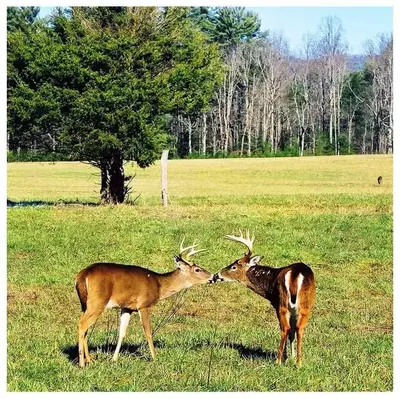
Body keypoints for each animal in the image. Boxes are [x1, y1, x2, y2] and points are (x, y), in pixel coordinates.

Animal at [75, 241, 212, 368]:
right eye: (197, 269)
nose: (212, 276)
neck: (159, 285)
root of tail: (82, 275)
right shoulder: (143, 305)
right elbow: (148, 332)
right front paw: (155, 357)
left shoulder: (127, 307)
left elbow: (121, 332)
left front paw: (114, 359)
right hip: (97, 301)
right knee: (82, 324)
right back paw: (82, 363)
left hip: (85, 303)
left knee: (85, 328)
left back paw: (89, 360)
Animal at [214, 231, 314, 368]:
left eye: (234, 267)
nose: (216, 275)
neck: (269, 285)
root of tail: (295, 275)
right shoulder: (294, 310)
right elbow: (293, 333)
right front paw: (292, 357)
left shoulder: (276, 304)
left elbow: (287, 329)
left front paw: (285, 357)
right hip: (305, 305)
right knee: (299, 328)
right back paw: (299, 363)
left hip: (282, 303)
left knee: (285, 328)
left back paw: (278, 361)